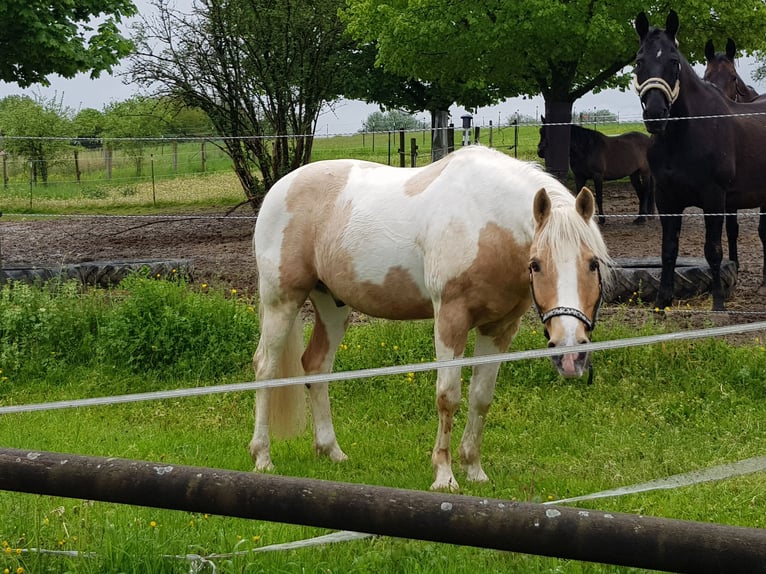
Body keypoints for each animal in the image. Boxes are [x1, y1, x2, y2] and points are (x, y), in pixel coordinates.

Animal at [250, 146, 612, 492]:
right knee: (266, 368)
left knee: (316, 367)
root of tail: (280, 188)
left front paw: (474, 470)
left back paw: (332, 451)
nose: (570, 350)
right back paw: (263, 458)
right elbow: (447, 397)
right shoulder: (451, 318)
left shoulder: (499, 328)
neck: (486, 222)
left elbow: (481, 397)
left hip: (332, 307)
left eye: (593, 263)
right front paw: (444, 476)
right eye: (536, 264)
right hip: (282, 300)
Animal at [632, 11, 766, 312]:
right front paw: (662, 301)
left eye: (673, 61)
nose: (656, 114)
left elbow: (713, 250)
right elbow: (668, 250)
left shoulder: (714, 197)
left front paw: (718, 303)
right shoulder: (667, 199)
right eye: (638, 62)